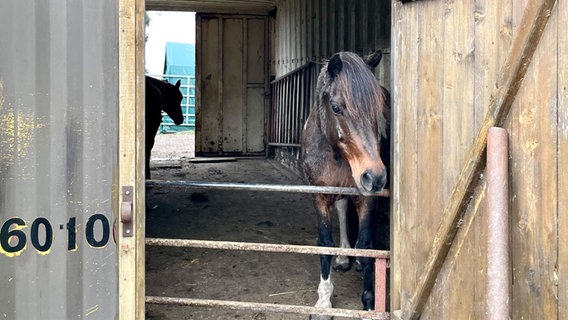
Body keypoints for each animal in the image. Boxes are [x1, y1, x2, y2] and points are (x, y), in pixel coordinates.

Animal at [302, 50, 390, 318]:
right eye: (336, 107)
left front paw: (369, 301)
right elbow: (324, 244)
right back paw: (342, 259)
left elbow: (365, 245)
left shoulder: (366, 198)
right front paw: (323, 302)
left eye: (378, 107)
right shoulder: (319, 196)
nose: (375, 176)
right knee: (341, 210)